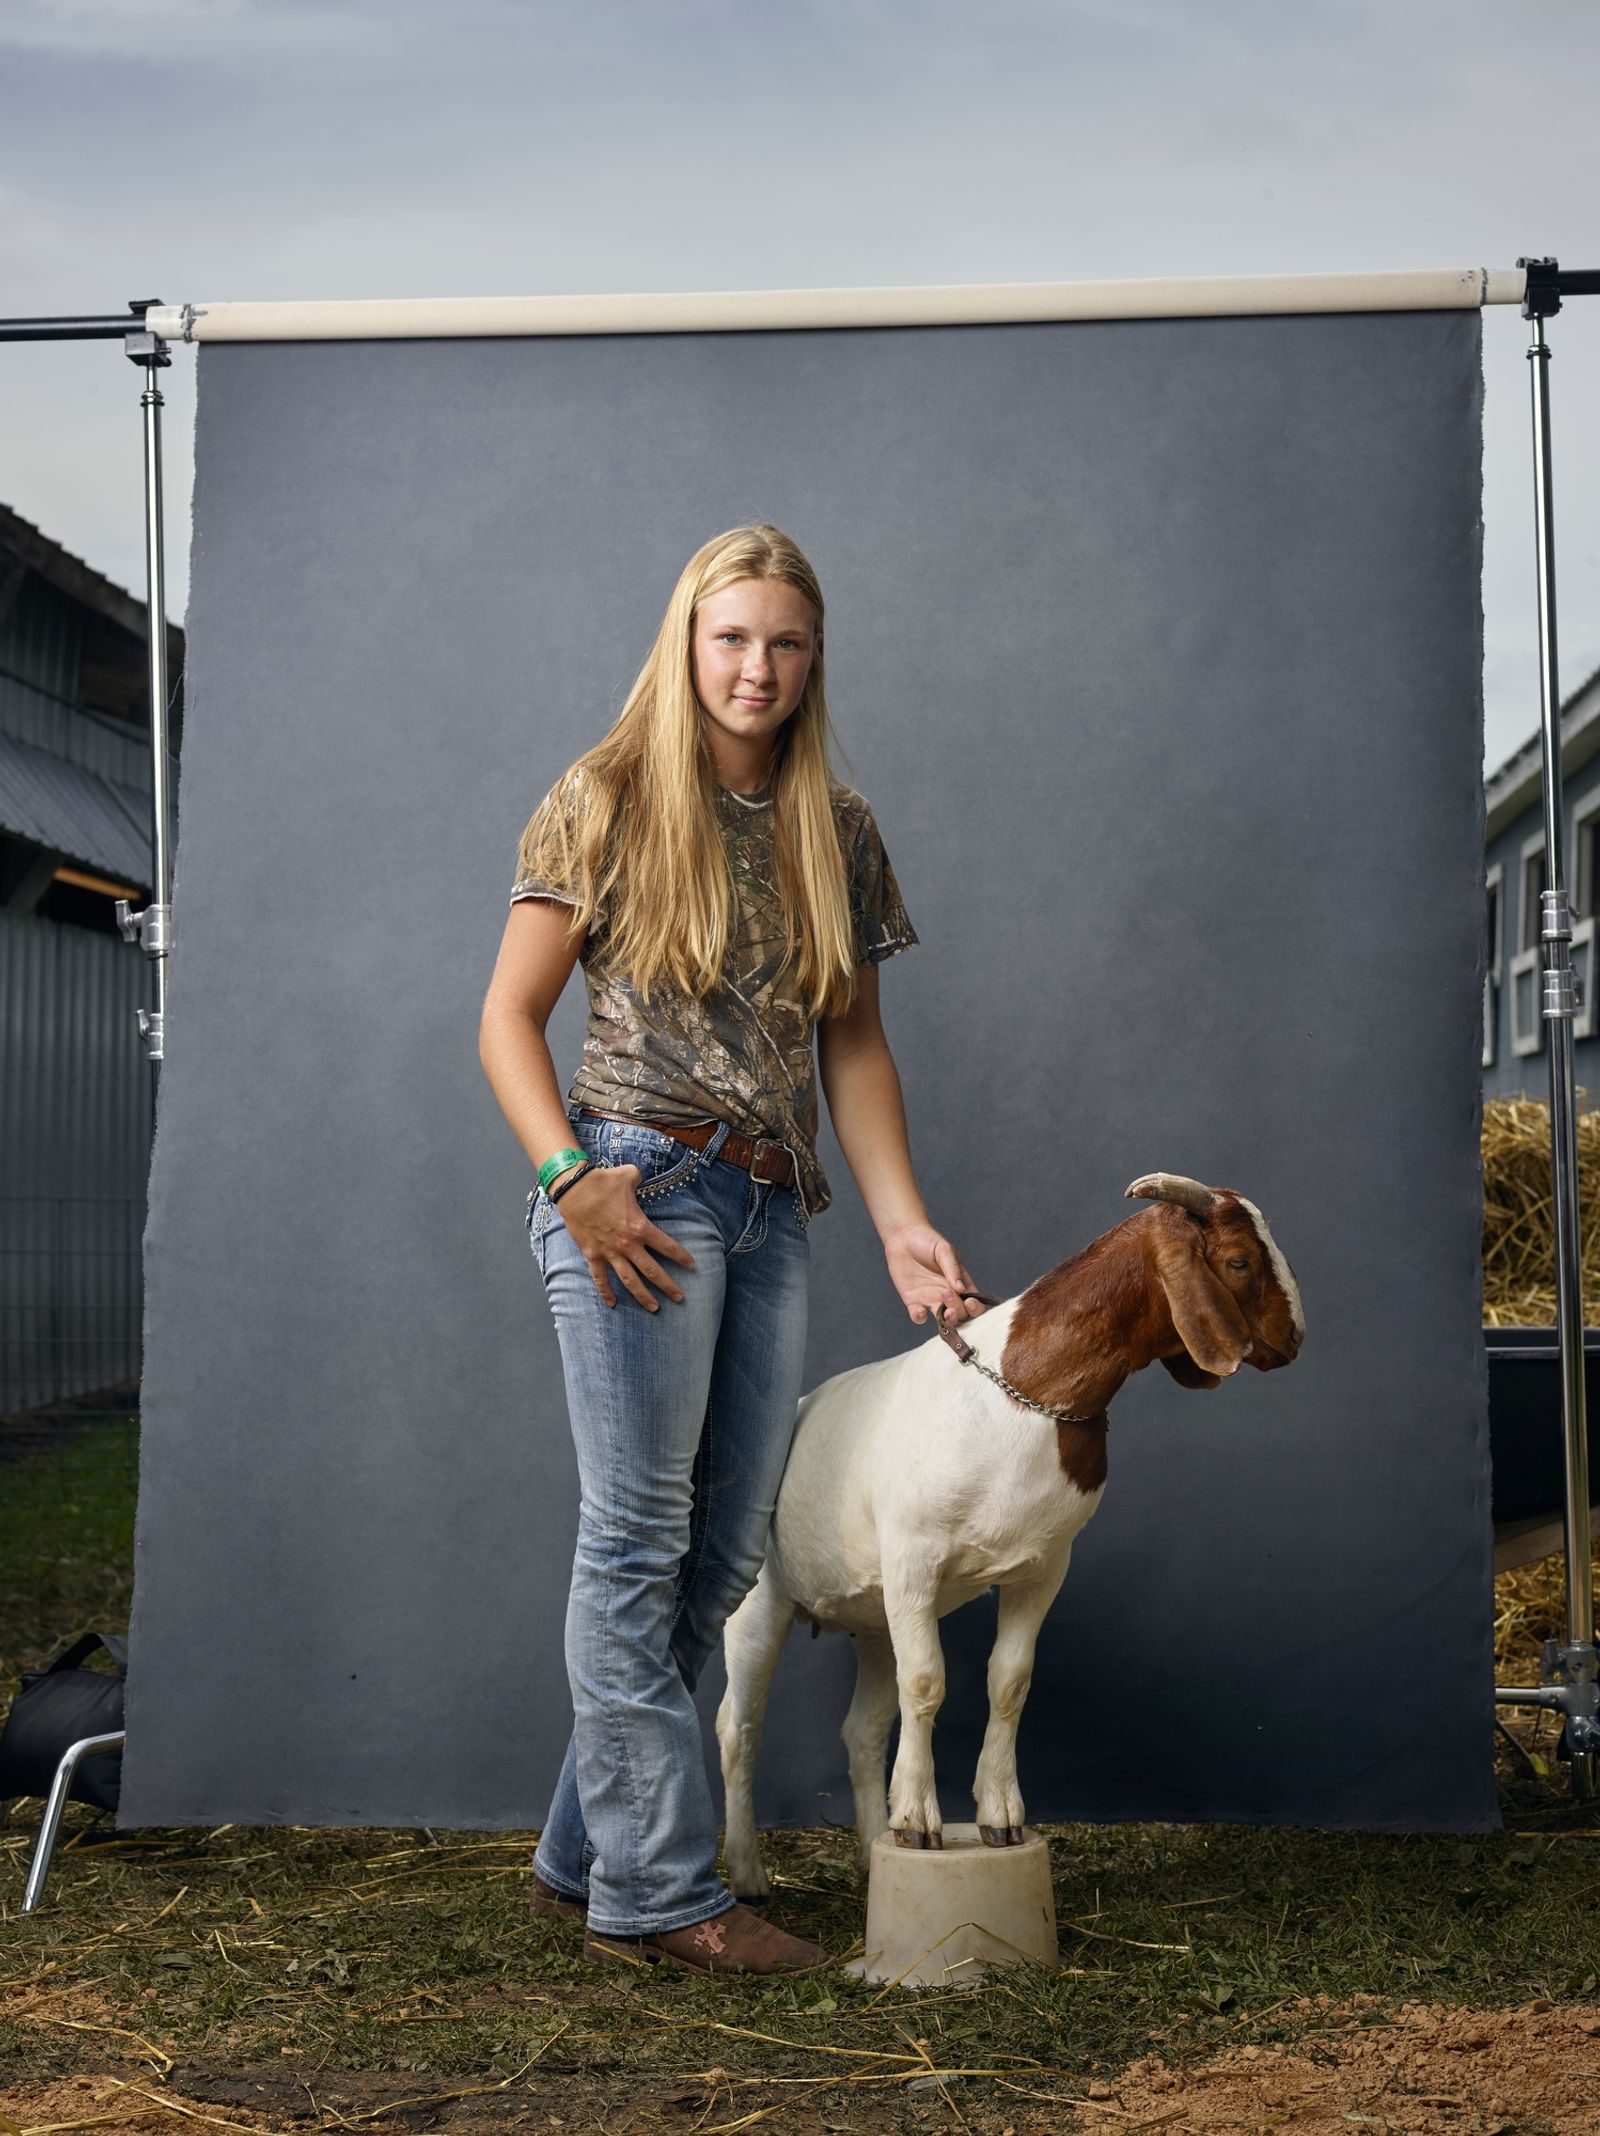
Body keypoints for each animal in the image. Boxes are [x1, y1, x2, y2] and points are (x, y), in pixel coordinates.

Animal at [717, 1170, 1307, 1888]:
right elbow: (928, 1682)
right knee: (739, 1726)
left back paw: (870, 1850)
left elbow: (1010, 1681)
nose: (1293, 1338)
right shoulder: (913, 1560)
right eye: (1239, 1261)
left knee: (863, 1729)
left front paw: (998, 1815)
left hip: (873, 1615)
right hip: (759, 1600)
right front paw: (919, 1822)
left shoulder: (1042, 1567)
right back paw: (748, 1874)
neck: (1027, 1390)